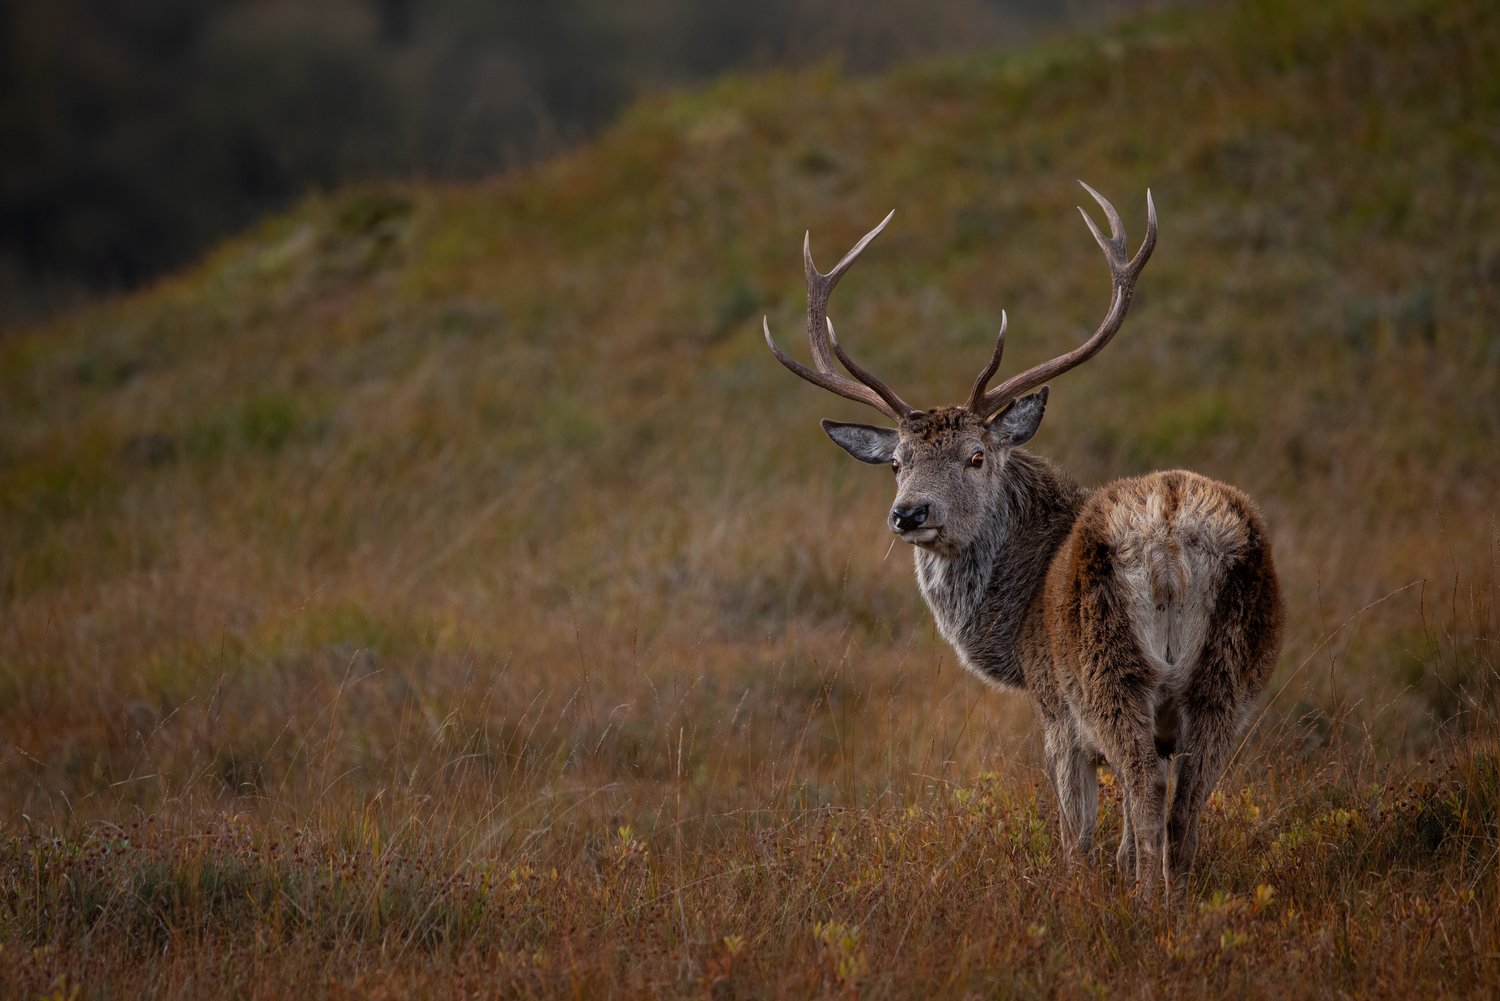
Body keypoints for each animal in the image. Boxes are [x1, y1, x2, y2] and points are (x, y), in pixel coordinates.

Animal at [763, 183, 1285, 899]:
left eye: (977, 455)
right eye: (896, 461)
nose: (909, 513)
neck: (1012, 625)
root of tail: (1173, 535)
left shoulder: (1055, 710)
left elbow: (1079, 837)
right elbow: (1126, 835)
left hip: (1108, 670)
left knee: (1149, 791)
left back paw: (1149, 906)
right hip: (1225, 674)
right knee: (1187, 805)